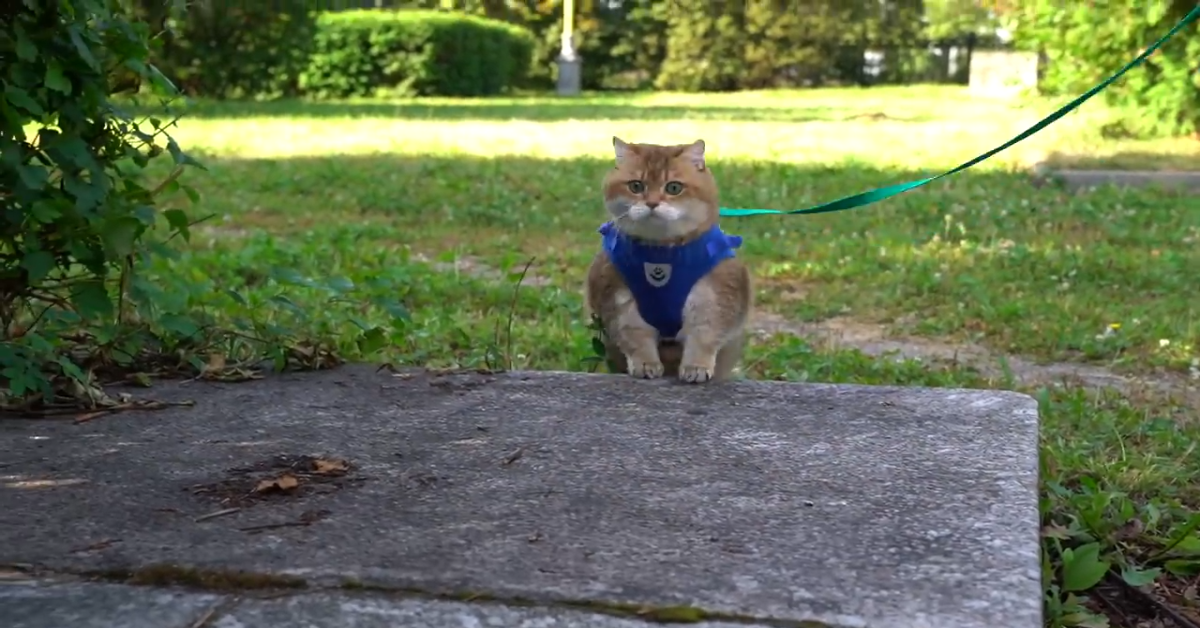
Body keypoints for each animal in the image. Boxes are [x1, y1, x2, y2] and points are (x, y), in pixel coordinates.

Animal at [583, 137, 748, 384]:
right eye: (636, 186)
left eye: (673, 187)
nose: (652, 203)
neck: (661, 253)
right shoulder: (619, 299)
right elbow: (635, 338)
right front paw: (645, 364)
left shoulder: (713, 298)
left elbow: (704, 336)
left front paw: (696, 367)